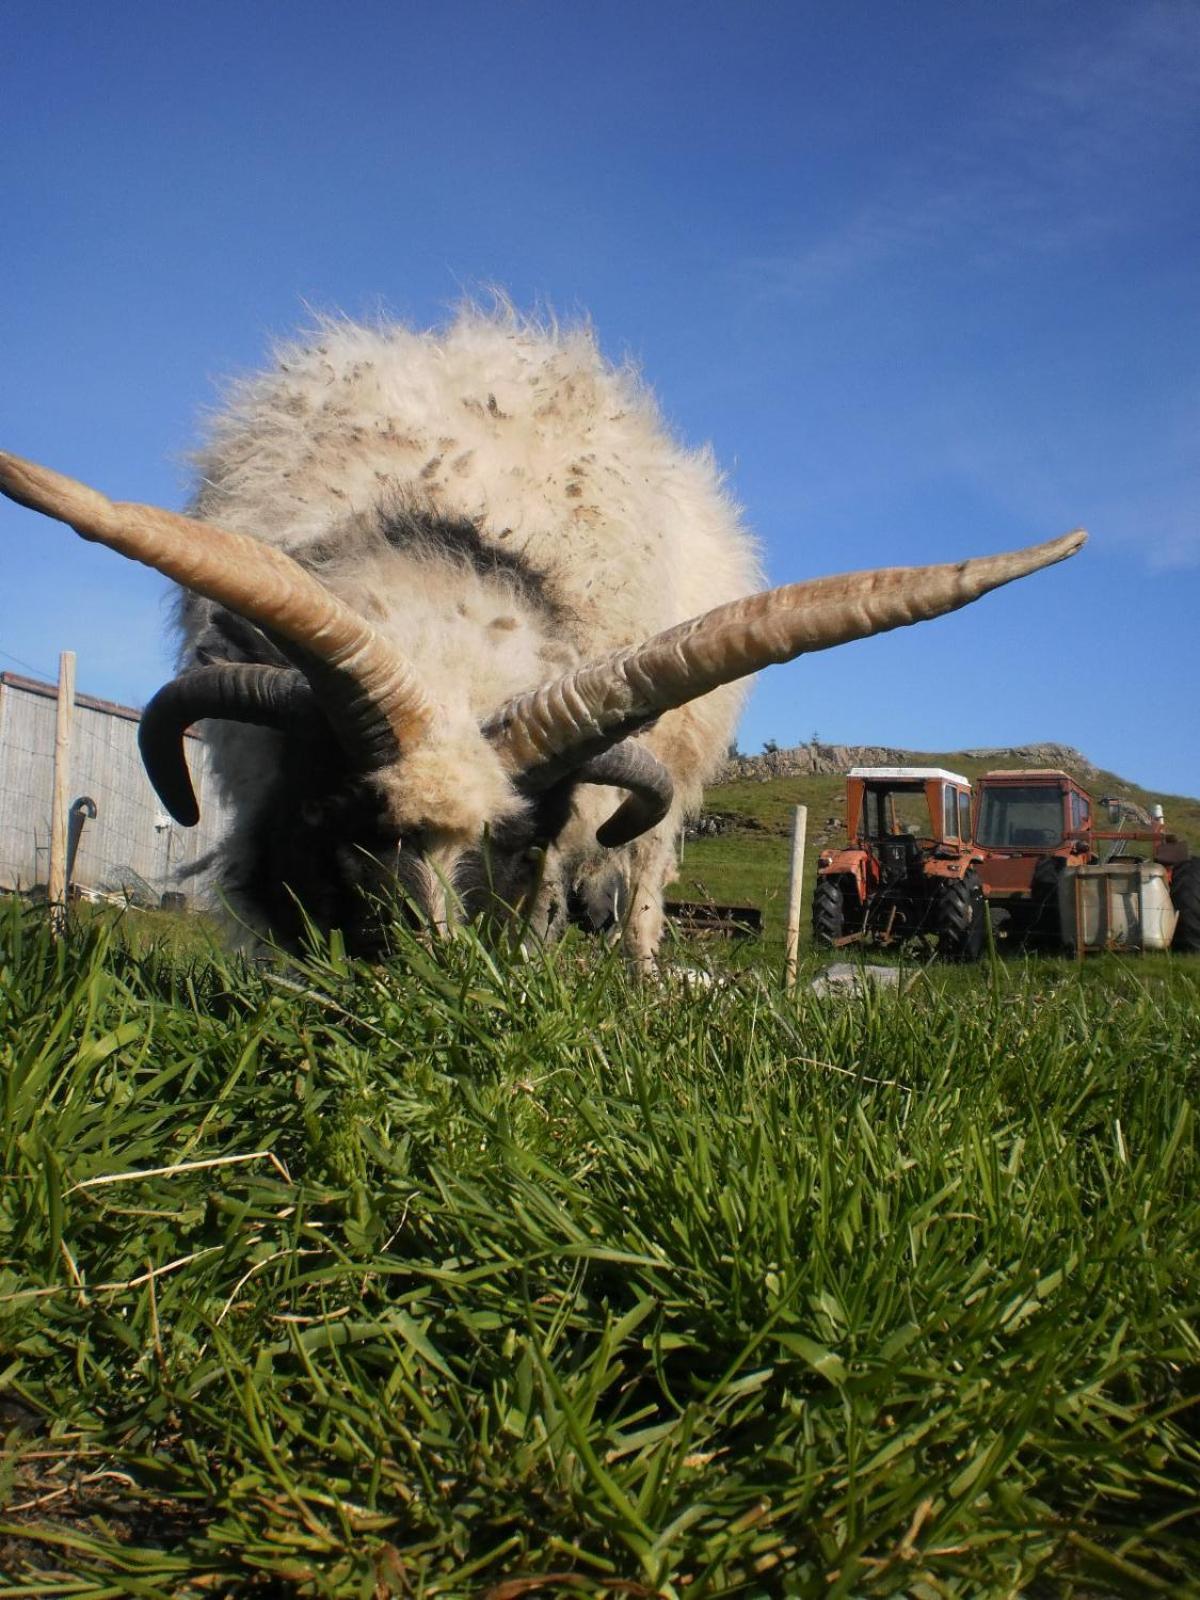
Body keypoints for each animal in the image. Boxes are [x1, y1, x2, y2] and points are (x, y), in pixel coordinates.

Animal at [0, 307, 1088, 966]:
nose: (424, 977)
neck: (452, 573)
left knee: (643, 886)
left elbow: (547, 903)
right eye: (347, 814)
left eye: (508, 844)